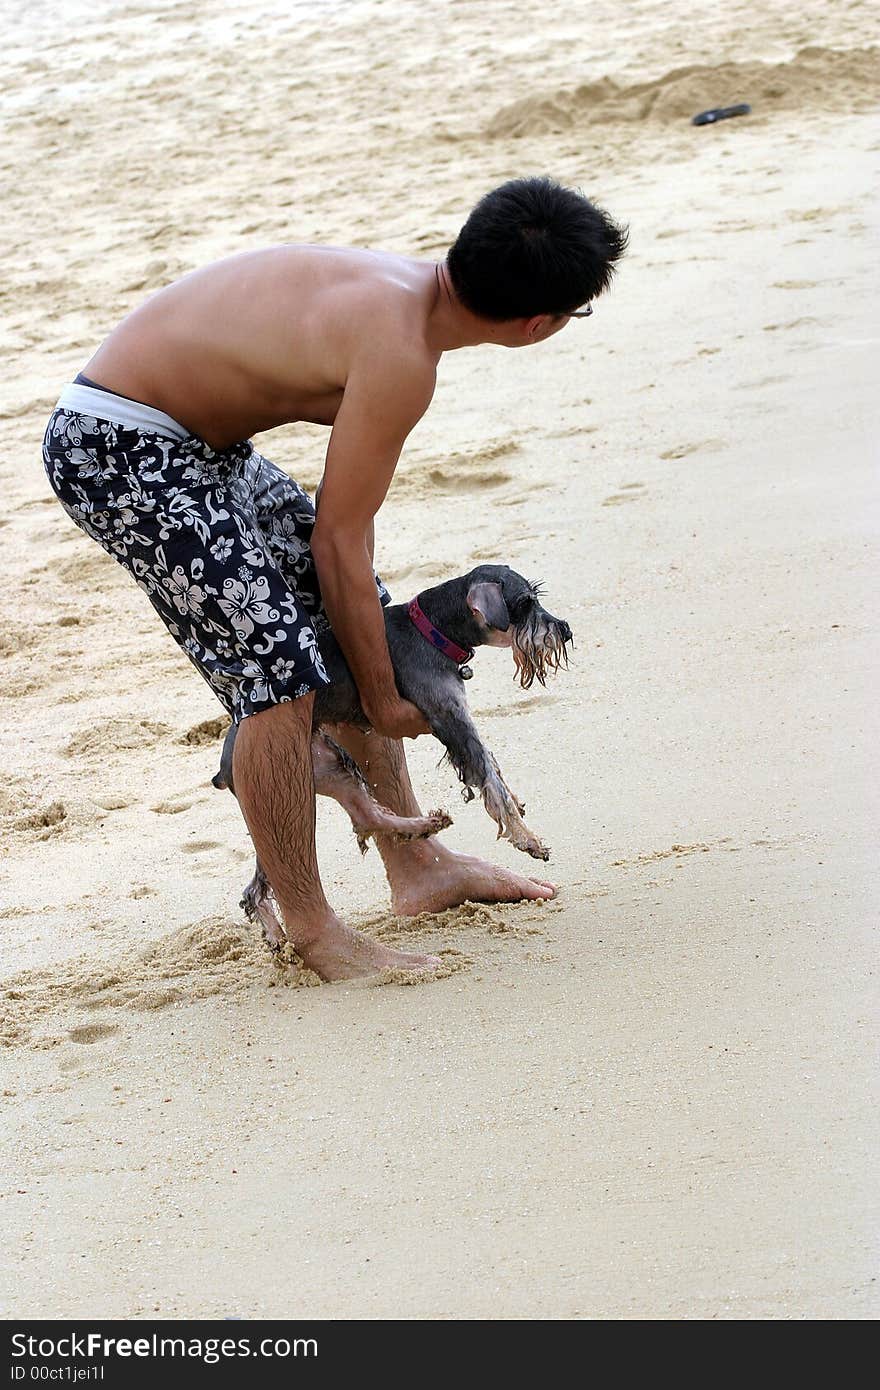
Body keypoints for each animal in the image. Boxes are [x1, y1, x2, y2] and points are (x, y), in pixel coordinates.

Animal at [212, 561, 569, 945]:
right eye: (526, 603)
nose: (564, 630)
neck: (434, 630)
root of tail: (225, 763)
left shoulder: (458, 721)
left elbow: (494, 768)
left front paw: (519, 811)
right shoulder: (451, 719)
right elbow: (490, 778)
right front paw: (527, 838)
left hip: (329, 768)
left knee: (364, 817)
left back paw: (424, 825)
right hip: (289, 780)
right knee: (261, 884)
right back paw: (279, 936)